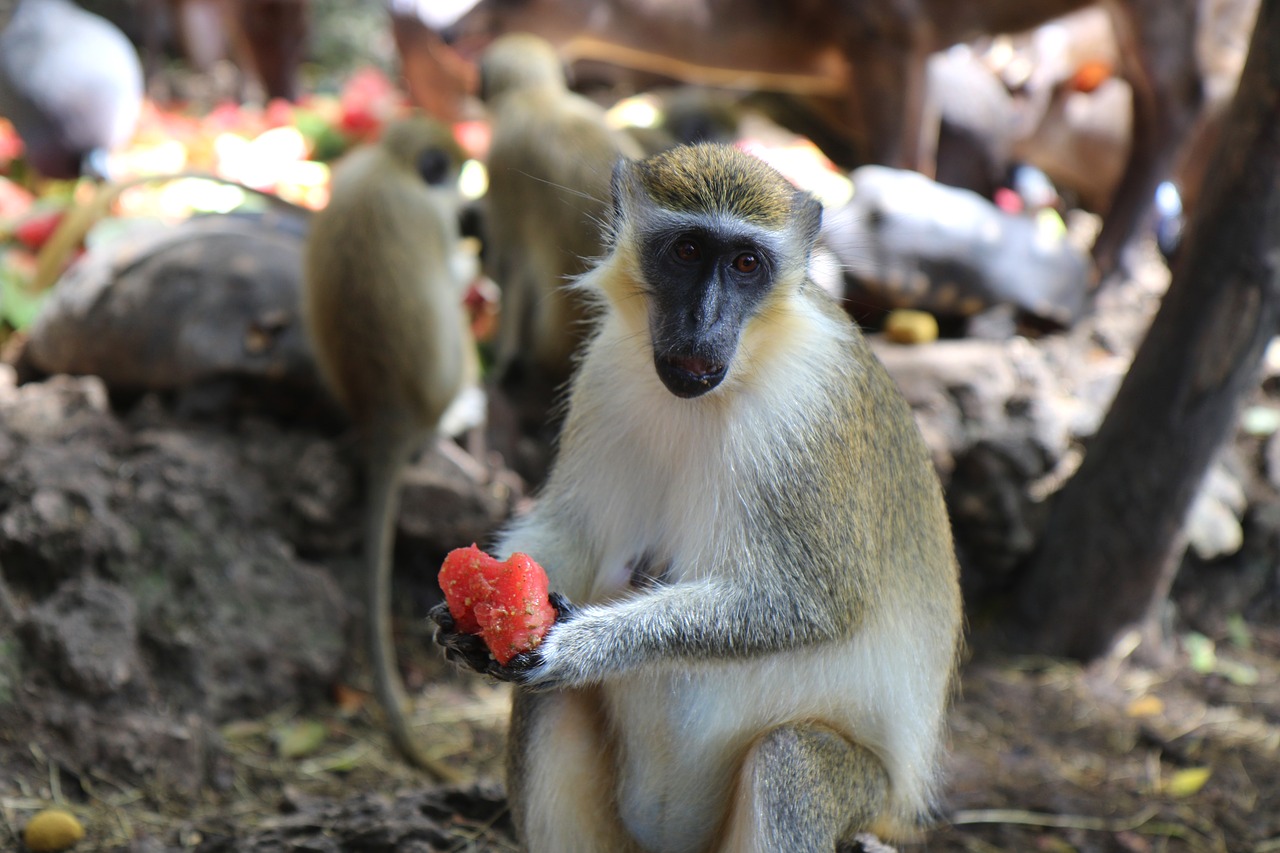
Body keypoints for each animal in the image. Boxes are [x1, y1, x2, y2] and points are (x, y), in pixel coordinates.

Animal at [432, 142, 962, 845]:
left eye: (745, 264)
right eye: (686, 250)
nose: (702, 319)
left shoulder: (810, 407)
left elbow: (813, 601)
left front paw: (578, 646)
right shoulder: (604, 369)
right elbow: (571, 533)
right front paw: (469, 609)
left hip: (860, 797)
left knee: (790, 761)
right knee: (546, 705)